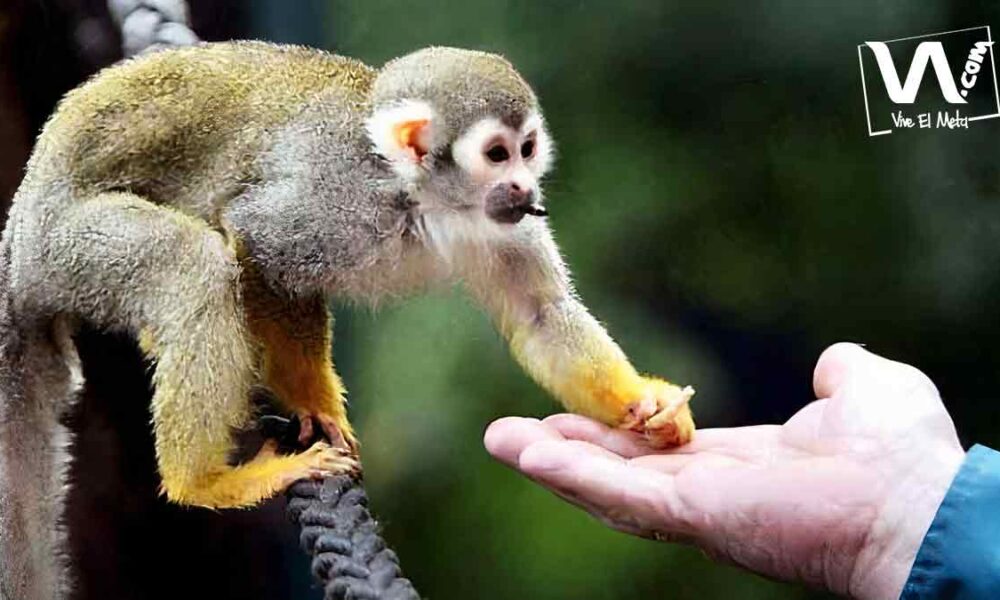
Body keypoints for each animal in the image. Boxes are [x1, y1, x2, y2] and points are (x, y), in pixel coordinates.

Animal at [0, 41, 694, 599]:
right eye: (497, 154)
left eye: (526, 150)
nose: (525, 188)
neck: (421, 199)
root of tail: (24, 217)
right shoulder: (336, 203)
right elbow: (257, 245)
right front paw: (314, 404)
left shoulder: (502, 225)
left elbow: (541, 316)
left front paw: (645, 406)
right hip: (70, 246)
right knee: (195, 265)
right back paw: (203, 484)